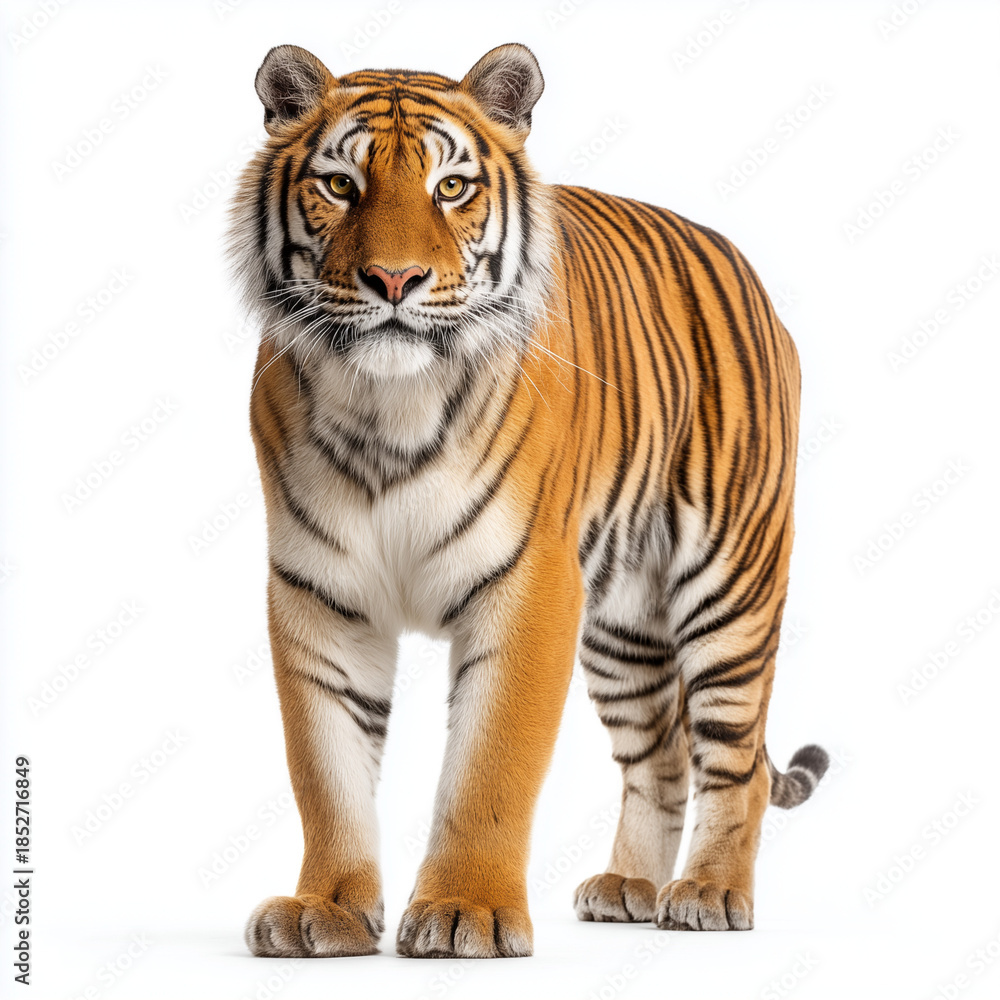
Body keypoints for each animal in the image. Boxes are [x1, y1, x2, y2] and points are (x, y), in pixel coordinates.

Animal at [229, 41, 829, 959]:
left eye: (451, 187)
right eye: (339, 184)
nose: (395, 279)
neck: (384, 406)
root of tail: (738, 261)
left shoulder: (530, 585)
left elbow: (490, 768)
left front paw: (465, 911)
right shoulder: (317, 594)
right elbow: (324, 767)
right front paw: (325, 909)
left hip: (731, 584)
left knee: (735, 757)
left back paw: (710, 892)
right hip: (622, 624)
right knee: (659, 755)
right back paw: (629, 889)